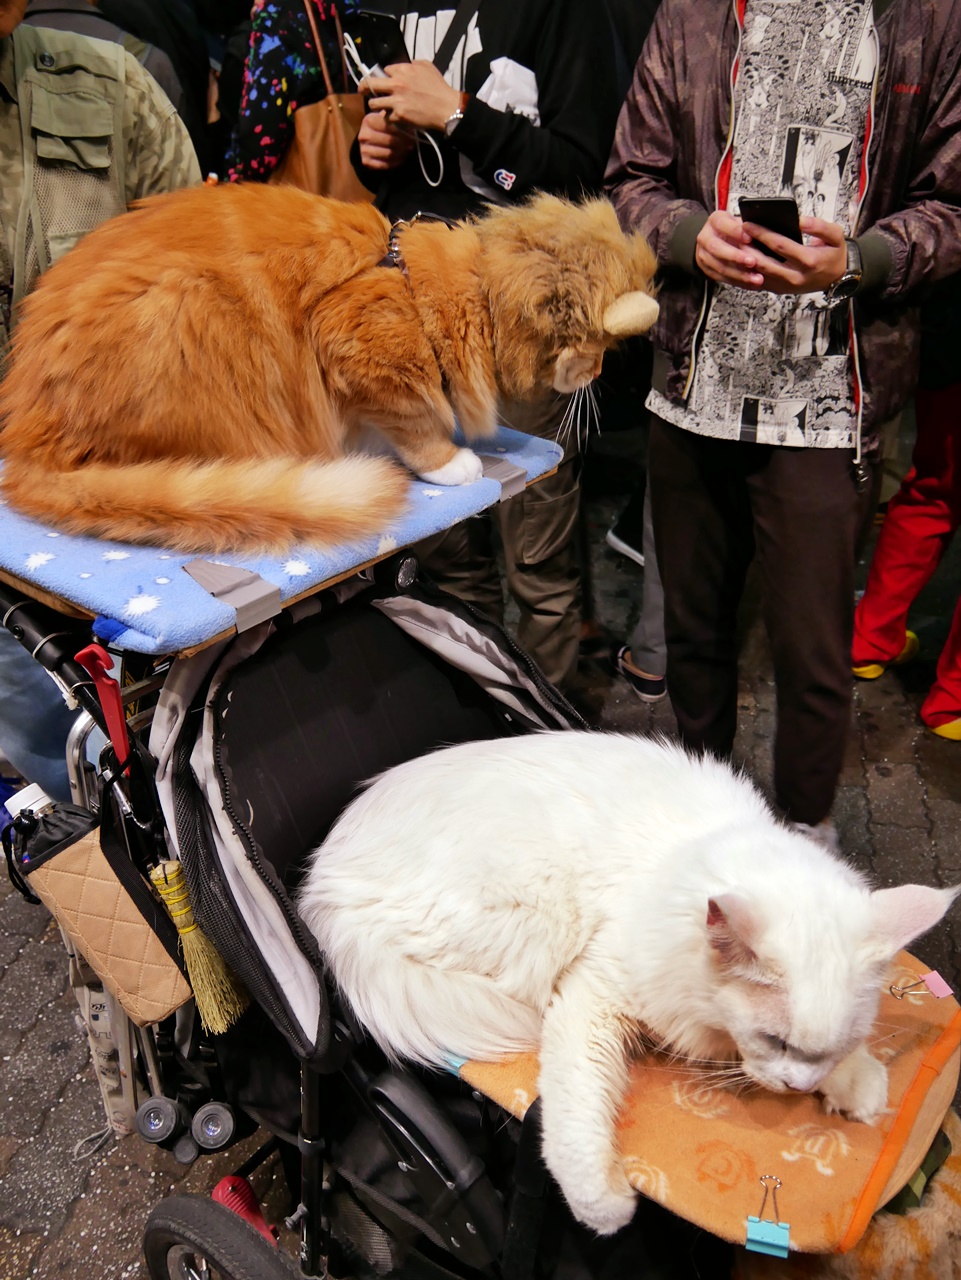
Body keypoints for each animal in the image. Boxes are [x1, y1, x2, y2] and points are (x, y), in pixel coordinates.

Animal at [0, 183, 655, 552]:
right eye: (597, 352)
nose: (599, 375)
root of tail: (23, 433)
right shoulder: (354, 343)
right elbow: (416, 422)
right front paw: (449, 463)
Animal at [296, 737, 957, 1233]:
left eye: (821, 1050)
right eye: (773, 1040)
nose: (797, 1085)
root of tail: (317, 886)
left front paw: (857, 1084)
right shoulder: (592, 996)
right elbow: (575, 1118)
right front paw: (604, 1207)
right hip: (528, 919)